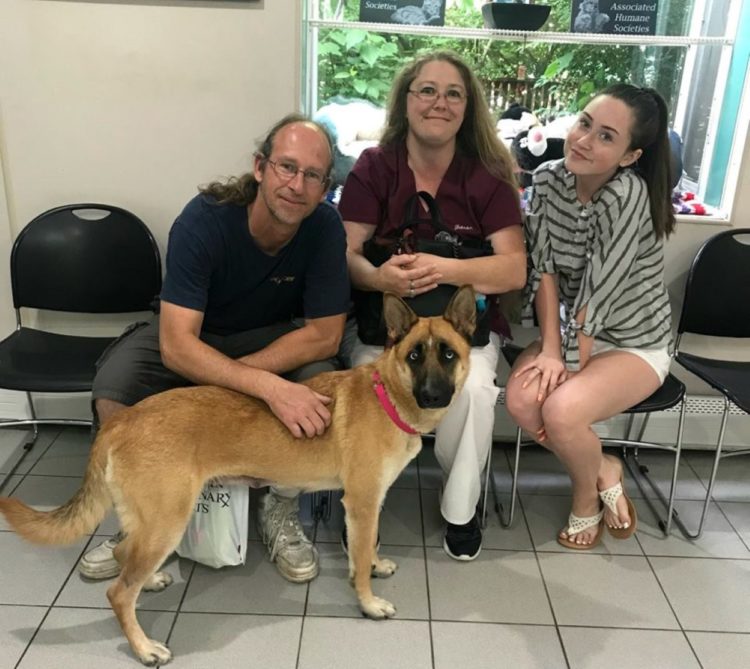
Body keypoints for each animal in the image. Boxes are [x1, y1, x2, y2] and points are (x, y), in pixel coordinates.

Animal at [0, 286, 478, 664]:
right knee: (118, 593)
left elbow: (369, 547)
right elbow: (358, 560)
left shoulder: (370, 503)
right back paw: (144, 647)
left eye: (448, 354)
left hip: (150, 524)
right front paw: (368, 602)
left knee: (124, 559)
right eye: (414, 355)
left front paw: (376, 565)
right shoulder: (360, 503)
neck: (389, 396)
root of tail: (122, 419)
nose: (434, 395)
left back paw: (149, 582)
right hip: (166, 522)